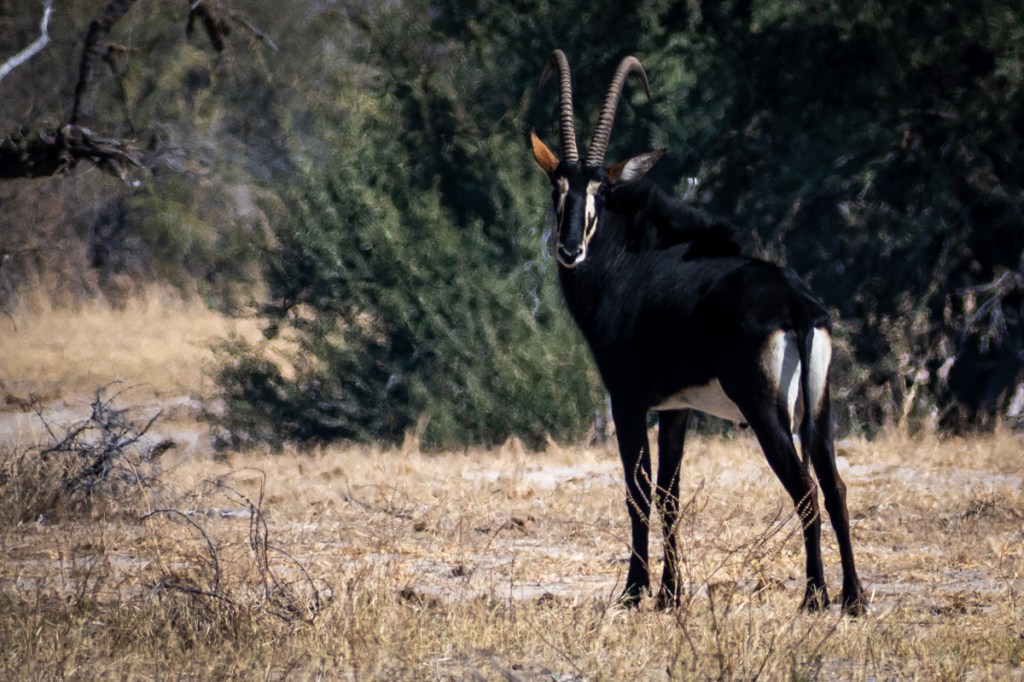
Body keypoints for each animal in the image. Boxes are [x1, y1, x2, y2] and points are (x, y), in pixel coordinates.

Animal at [530, 50, 865, 615]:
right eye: (558, 186)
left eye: (602, 189)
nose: (570, 248)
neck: (634, 259)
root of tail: (795, 303)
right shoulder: (677, 407)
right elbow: (671, 496)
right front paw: (670, 595)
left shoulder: (628, 400)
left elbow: (639, 492)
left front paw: (635, 592)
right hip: (819, 411)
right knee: (835, 486)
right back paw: (855, 598)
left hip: (766, 412)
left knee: (804, 489)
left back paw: (814, 596)